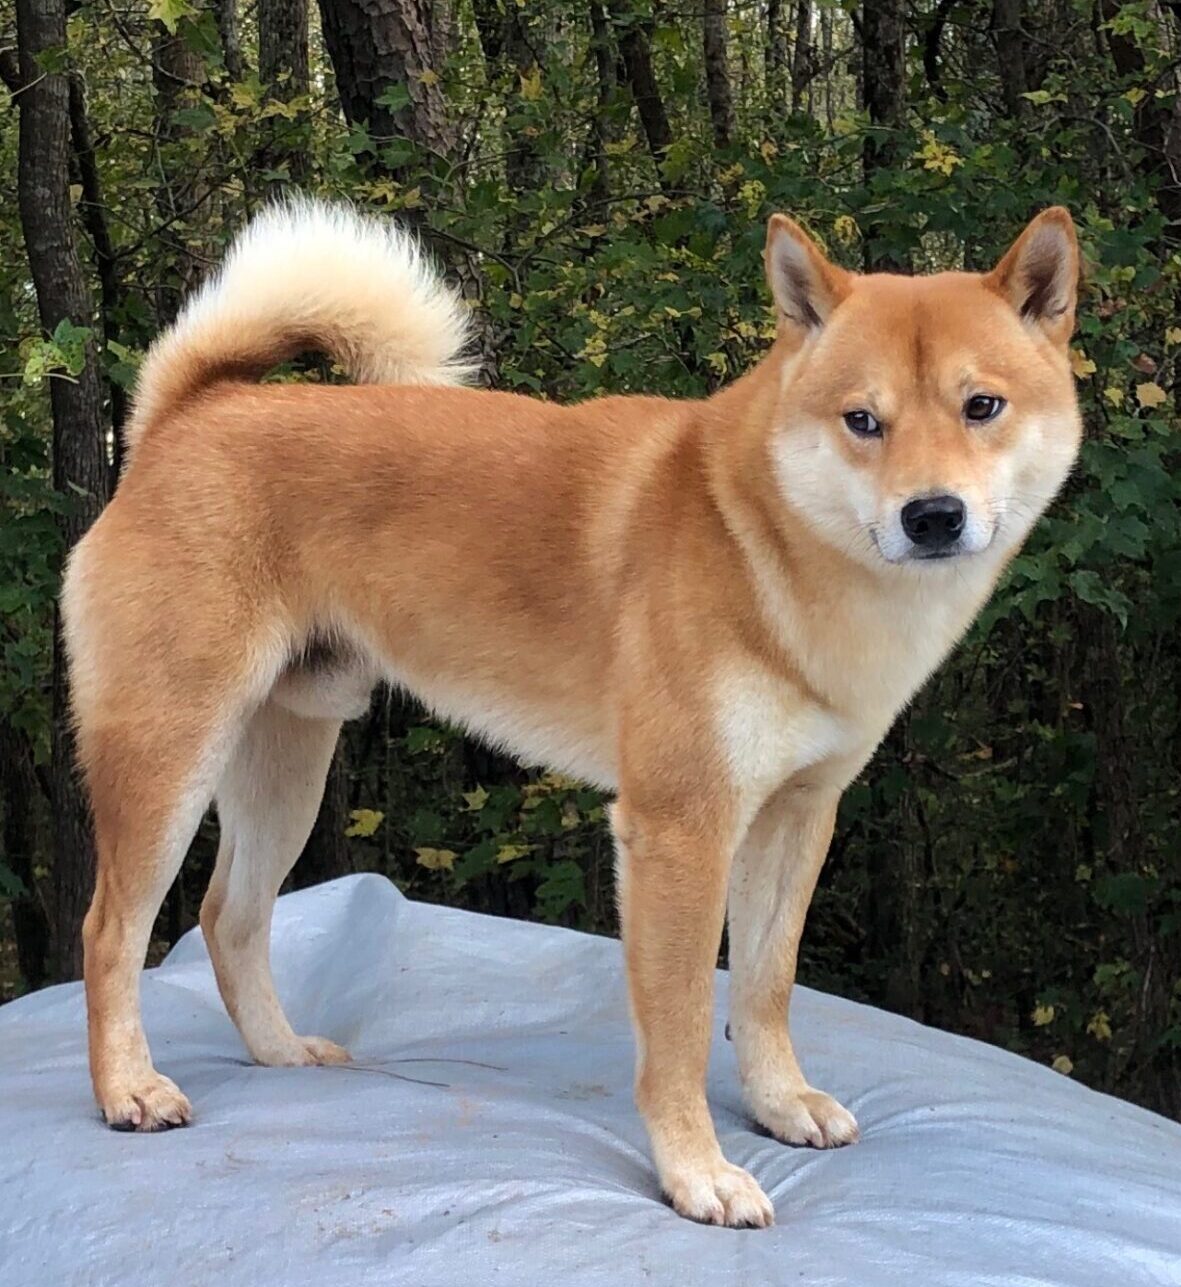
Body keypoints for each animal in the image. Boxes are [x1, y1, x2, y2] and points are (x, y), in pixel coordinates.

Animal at [62, 198, 1080, 1225]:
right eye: (861, 421)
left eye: (981, 407)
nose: (932, 515)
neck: (764, 545)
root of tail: (186, 415)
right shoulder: (679, 829)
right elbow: (680, 1025)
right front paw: (697, 1171)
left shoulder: (794, 818)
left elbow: (764, 986)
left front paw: (779, 1103)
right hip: (169, 753)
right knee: (111, 932)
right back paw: (128, 1089)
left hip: (288, 764)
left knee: (231, 916)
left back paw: (280, 1051)